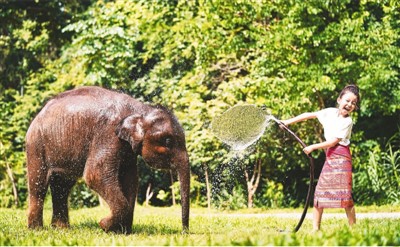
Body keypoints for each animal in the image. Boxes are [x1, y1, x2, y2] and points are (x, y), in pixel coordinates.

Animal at [26, 85, 191, 233]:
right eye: (168, 141)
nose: (184, 232)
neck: (141, 109)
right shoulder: (108, 132)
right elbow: (95, 174)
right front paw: (104, 225)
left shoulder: (127, 148)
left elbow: (130, 180)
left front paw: (122, 231)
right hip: (36, 144)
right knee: (39, 185)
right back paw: (37, 230)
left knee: (62, 186)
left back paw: (62, 229)